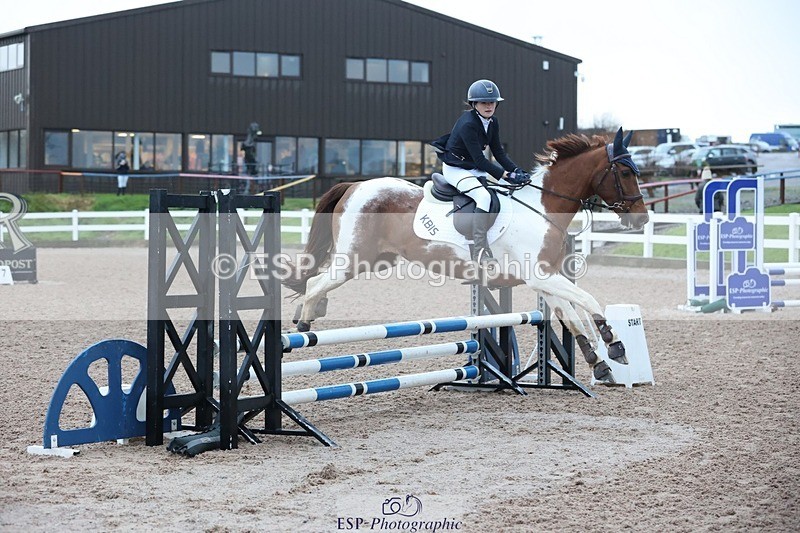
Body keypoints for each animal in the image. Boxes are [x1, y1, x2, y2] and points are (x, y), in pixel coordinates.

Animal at [282, 129, 649, 383]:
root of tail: (355, 185)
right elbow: (587, 300)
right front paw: (614, 344)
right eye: (625, 173)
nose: (641, 220)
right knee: (315, 282)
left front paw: (599, 363)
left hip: (375, 259)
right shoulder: (541, 275)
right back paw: (303, 324)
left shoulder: (543, 277)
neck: (543, 207)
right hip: (354, 259)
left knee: (317, 280)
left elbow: (571, 315)